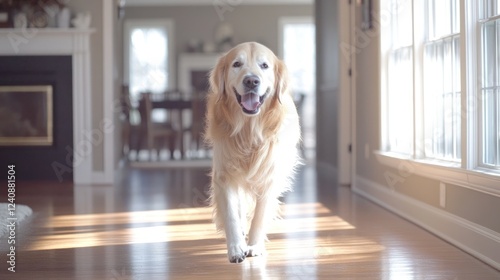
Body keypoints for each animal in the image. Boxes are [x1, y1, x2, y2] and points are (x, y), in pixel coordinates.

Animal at [204, 42, 300, 262]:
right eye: (236, 64)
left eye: (264, 65)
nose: (251, 81)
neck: (249, 131)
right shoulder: (224, 176)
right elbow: (232, 214)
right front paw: (236, 248)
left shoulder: (270, 177)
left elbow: (260, 215)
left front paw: (254, 245)